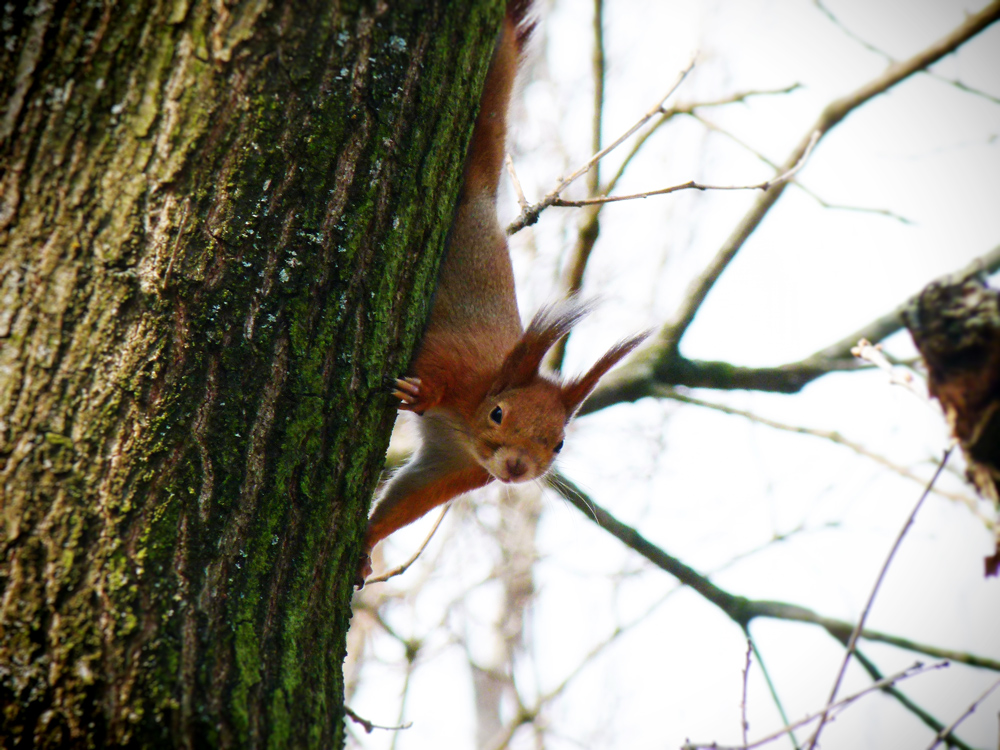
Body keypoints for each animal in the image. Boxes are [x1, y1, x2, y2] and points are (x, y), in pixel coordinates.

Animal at [356, 1, 652, 588]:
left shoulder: (455, 469)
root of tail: (479, 200)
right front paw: (421, 393)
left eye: (558, 443)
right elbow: (431, 362)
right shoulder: (459, 362)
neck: (470, 419)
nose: (516, 468)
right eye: (498, 414)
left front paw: (368, 543)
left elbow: (406, 500)